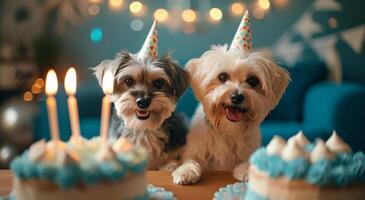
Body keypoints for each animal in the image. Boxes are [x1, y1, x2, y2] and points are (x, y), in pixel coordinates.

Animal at [172, 11, 288, 184]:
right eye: (222, 76)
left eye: (253, 81)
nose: (237, 97)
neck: (227, 131)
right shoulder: (194, 150)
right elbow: (190, 161)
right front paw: (185, 171)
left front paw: (246, 170)